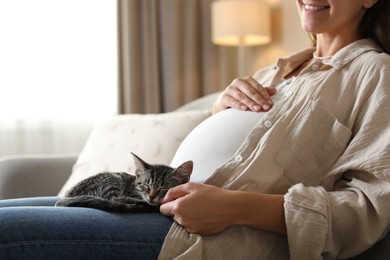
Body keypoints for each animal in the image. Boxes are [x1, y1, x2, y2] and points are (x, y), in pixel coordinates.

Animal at [55, 153, 193, 212]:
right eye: (146, 185)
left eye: (163, 188)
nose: (151, 197)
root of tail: (65, 196)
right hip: (111, 180)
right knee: (114, 199)